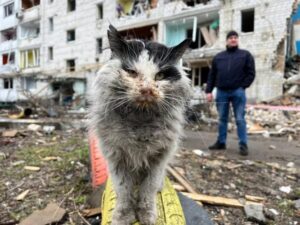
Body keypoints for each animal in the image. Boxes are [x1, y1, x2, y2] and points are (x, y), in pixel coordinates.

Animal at [87, 25, 190, 225]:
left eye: (160, 75)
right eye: (131, 72)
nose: (147, 90)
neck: (140, 123)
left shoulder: (159, 159)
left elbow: (148, 190)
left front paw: (146, 214)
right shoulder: (116, 158)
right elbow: (124, 192)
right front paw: (123, 216)